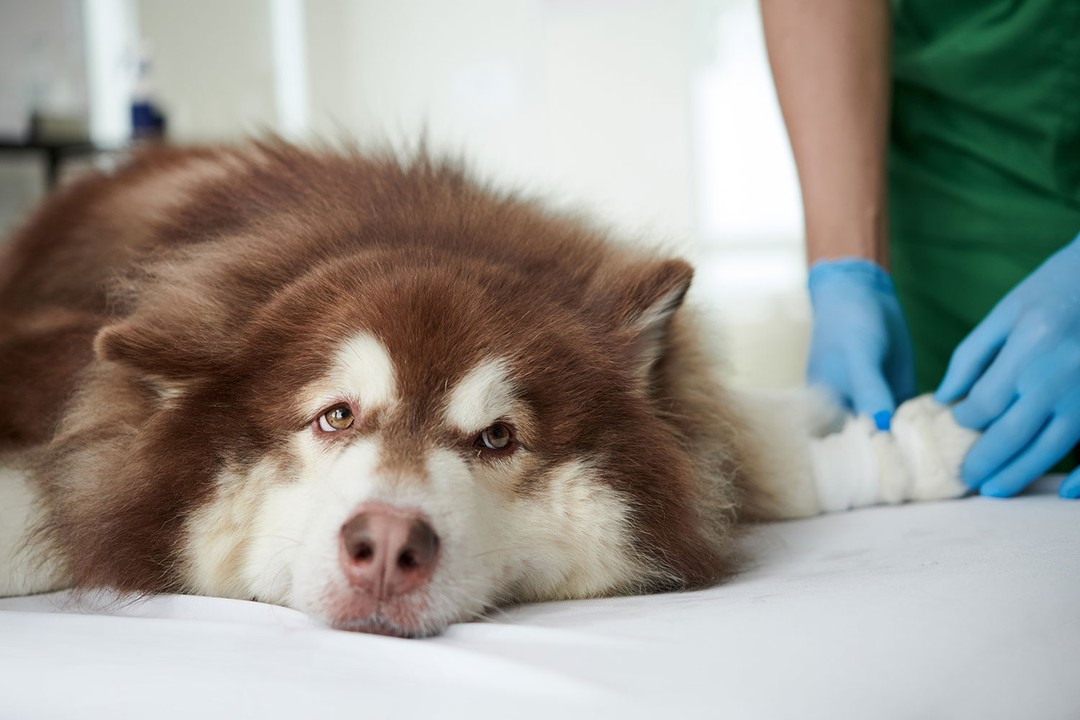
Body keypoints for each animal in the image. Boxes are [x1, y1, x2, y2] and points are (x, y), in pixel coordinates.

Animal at [0, 142, 980, 634]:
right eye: (334, 417)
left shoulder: (694, 419)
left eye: (497, 437)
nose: (386, 547)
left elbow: (764, 450)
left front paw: (936, 440)